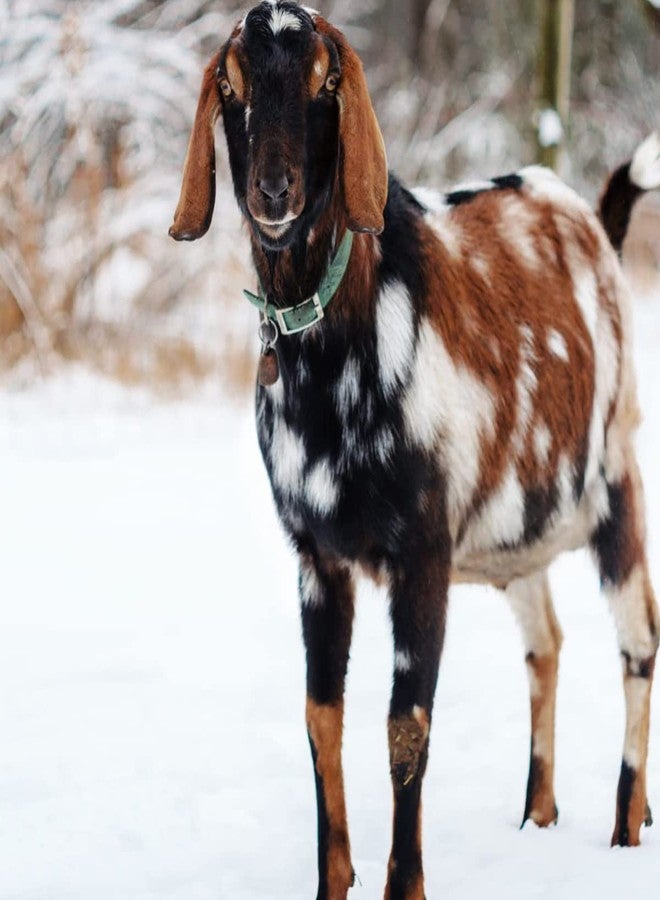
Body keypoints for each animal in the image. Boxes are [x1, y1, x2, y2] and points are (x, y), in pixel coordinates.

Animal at [169, 3, 660, 897]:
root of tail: (595, 227)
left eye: (327, 78)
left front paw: (406, 884)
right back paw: (540, 813)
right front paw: (333, 880)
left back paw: (624, 828)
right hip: (519, 528)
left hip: (615, 474)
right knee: (546, 642)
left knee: (639, 639)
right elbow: (320, 715)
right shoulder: (317, 554)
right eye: (232, 83)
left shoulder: (422, 546)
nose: (274, 191)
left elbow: (408, 724)